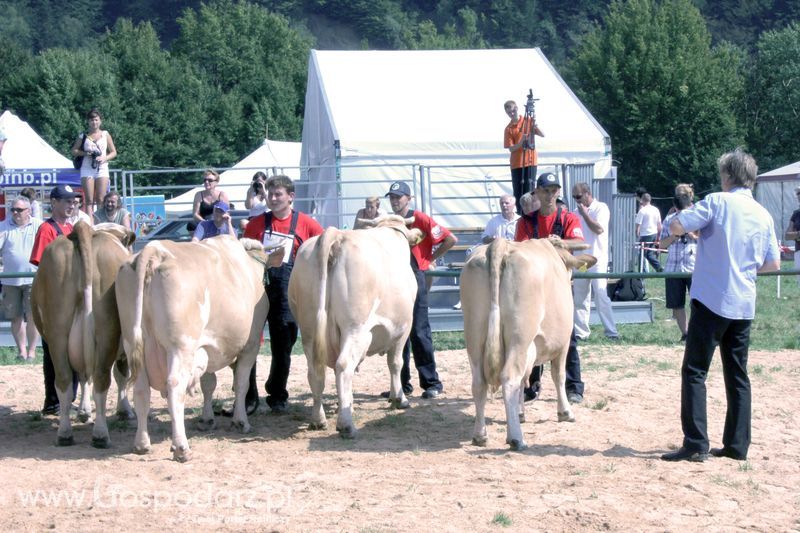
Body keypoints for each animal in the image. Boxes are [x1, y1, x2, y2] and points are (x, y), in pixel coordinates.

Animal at [31, 220, 137, 448]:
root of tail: (84, 229)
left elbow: (81, 376)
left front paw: (84, 411)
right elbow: (122, 375)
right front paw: (125, 410)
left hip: (57, 332)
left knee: (64, 379)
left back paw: (64, 433)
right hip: (107, 330)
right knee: (101, 378)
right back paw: (100, 435)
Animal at [116, 235, 284, 460]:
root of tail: (155, 251)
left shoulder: (206, 347)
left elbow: (209, 384)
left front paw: (206, 419)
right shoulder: (250, 346)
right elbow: (241, 383)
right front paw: (240, 421)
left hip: (134, 344)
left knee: (141, 391)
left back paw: (142, 443)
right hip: (181, 346)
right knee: (175, 387)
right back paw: (181, 447)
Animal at [290, 215, 424, 436]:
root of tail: (337, 235)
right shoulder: (404, 327)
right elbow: (396, 363)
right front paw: (399, 399)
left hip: (309, 330)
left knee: (316, 372)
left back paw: (319, 420)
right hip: (356, 329)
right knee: (344, 365)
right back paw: (346, 425)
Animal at [460, 237, 596, 448]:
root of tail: (500, 245)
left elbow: (524, 381)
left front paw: (520, 413)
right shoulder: (563, 343)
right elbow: (558, 375)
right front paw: (565, 412)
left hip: (474, 336)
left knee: (479, 383)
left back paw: (480, 435)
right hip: (520, 337)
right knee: (509, 377)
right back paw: (516, 438)